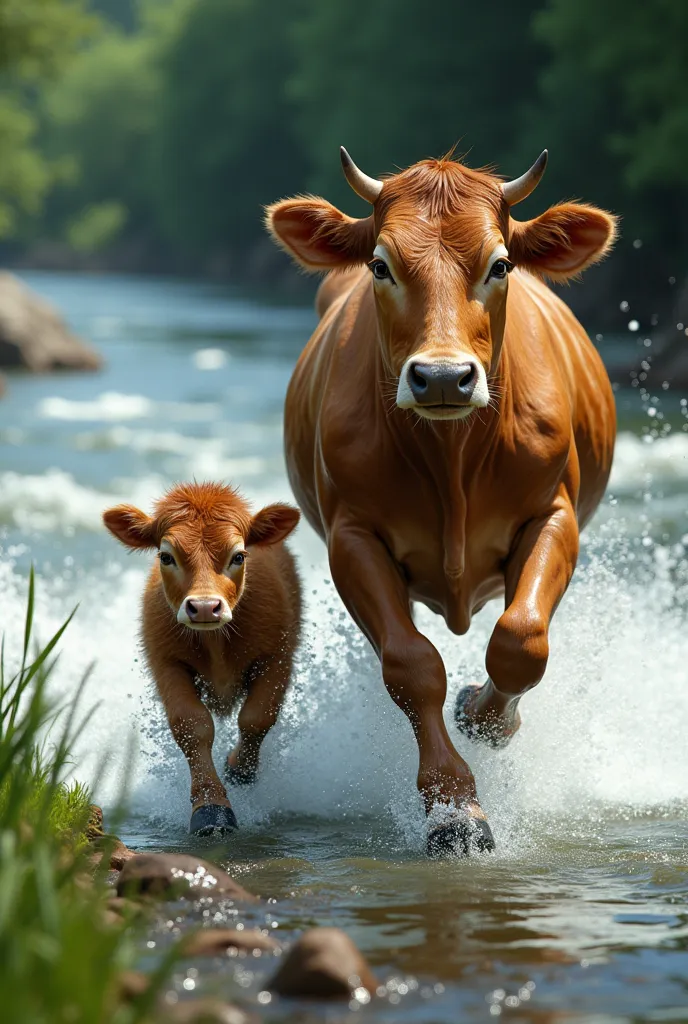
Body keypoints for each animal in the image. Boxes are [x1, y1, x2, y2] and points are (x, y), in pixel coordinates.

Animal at [104, 483, 301, 835]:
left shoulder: (278, 656)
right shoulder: (165, 662)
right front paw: (211, 808)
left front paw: (240, 770)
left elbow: (258, 716)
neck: (215, 643)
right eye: (166, 556)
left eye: (239, 556)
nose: (206, 607)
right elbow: (192, 725)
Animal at [266, 146, 614, 856]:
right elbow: (411, 666)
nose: (445, 377)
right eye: (380, 264)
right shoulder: (352, 535)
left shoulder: (553, 515)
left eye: (500, 263)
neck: (452, 459)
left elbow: (521, 641)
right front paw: (455, 809)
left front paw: (484, 718)